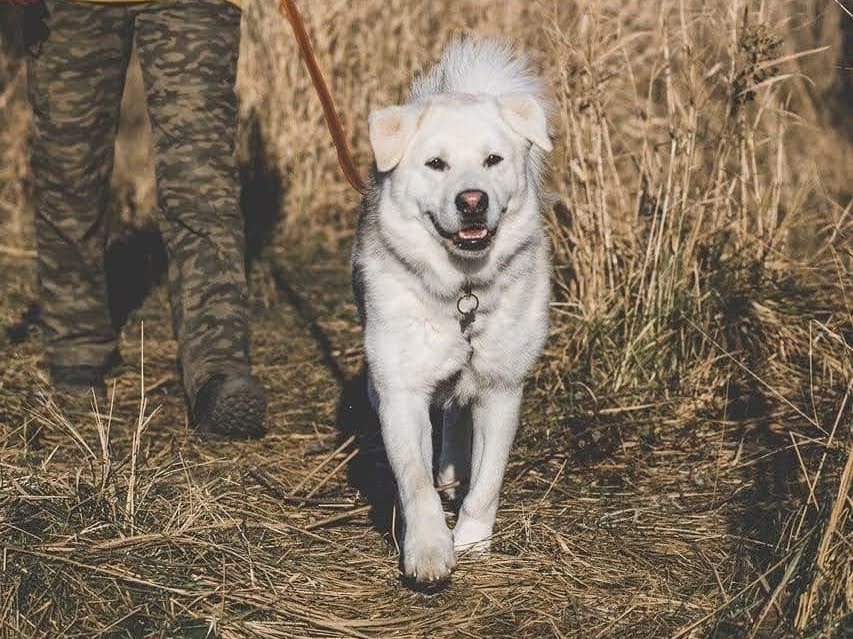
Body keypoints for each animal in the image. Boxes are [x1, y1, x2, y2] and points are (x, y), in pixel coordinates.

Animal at [352, 38, 552, 584]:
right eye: (436, 164)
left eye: (493, 160)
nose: (472, 201)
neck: (464, 290)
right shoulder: (401, 390)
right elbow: (414, 480)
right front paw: (428, 550)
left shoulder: (502, 388)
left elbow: (487, 481)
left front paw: (472, 542)